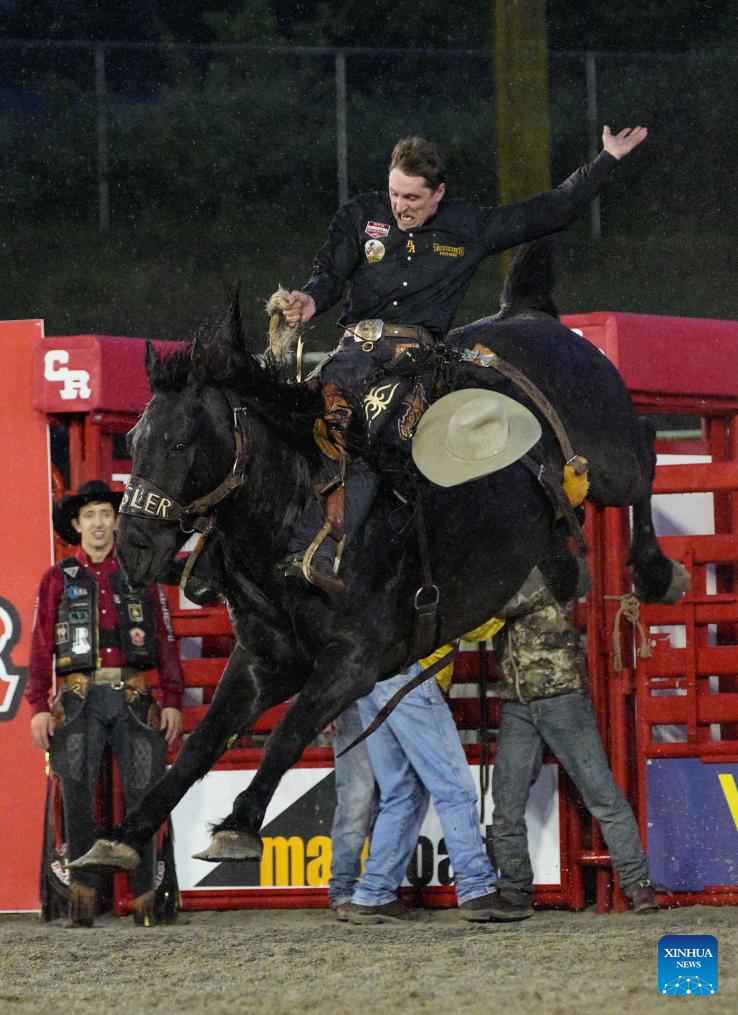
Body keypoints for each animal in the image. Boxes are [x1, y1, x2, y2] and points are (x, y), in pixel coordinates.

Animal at [71, 242, 687, 874]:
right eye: (133, 440)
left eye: (179, 444)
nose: (133, 545)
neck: (297, 515)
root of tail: (527, 313)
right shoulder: (262, 661)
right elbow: (200, 744)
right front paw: (122, 835)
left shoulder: (354, 662)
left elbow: (286, 733)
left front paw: (238, 826)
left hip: (611, 459)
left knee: (646, 440)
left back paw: (656, 571)